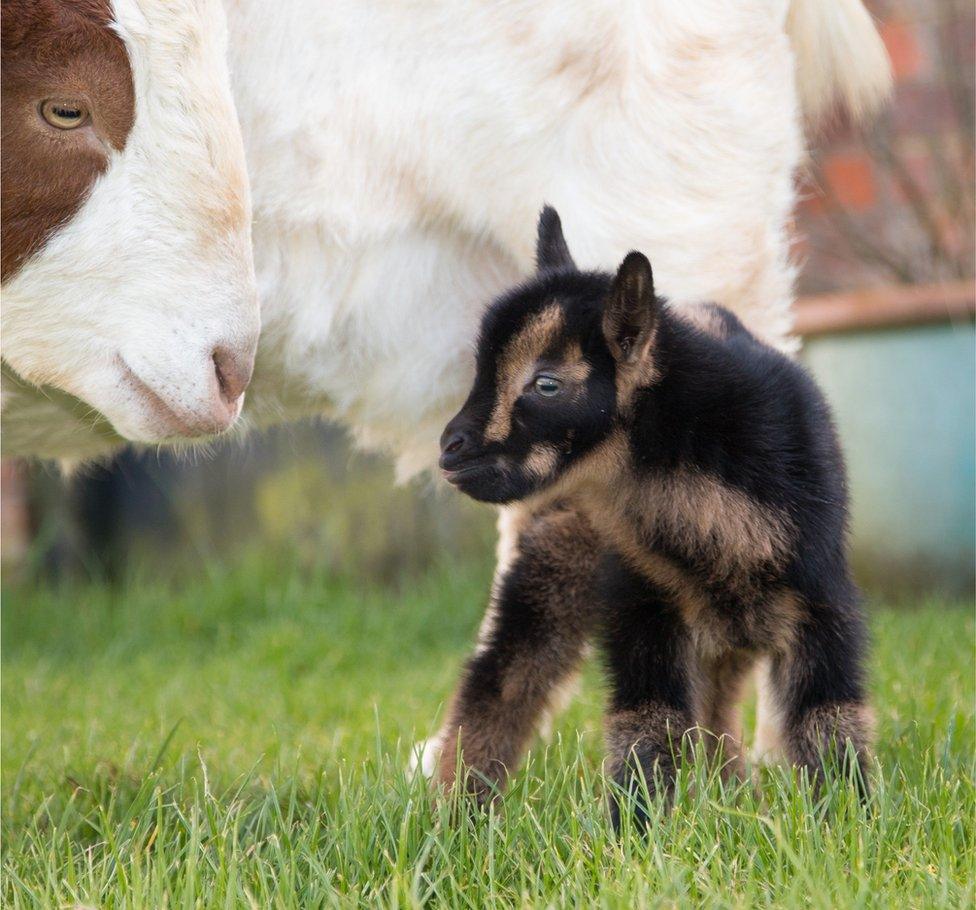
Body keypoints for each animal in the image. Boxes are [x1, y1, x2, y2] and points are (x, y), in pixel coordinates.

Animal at [438, 210, 872, 832]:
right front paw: (633, 833)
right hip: (556, 561)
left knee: (716, 704)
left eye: (546, 383)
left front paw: (851, 822)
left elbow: (828, 717)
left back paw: (728, 791)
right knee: (504, 677)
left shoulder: (820, 602)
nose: (450, 450)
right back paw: (458, 814)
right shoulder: (644, 603)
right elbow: (648, 722)